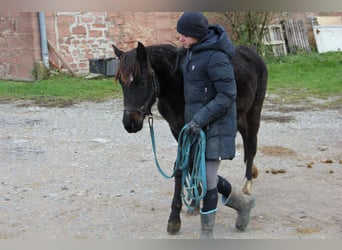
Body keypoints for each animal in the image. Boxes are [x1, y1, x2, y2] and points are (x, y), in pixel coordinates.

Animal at [112, 41, 268, 234]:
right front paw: (194, 201)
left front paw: (174, 219)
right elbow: (189, 164)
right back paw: (252, 173)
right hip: (238, 116)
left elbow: (187, 166)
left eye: (142, 81)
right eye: (121, 82)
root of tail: (253, 54)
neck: (178, 85)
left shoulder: (193, 128)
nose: (130, 124)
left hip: (253, 112)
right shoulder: (178, 130)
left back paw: (247, 185)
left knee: (251, 145)